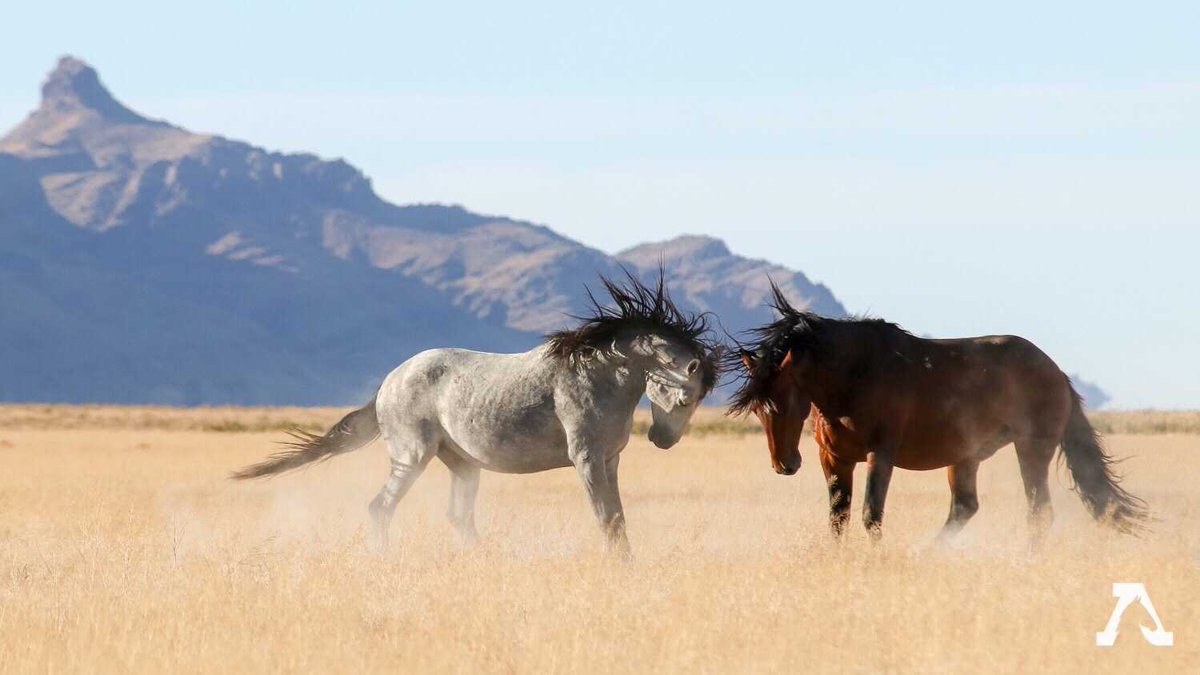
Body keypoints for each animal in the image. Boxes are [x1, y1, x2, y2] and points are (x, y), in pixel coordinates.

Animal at [232, 272, 720, 556]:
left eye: (698, 401)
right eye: (685, 398)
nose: (663, 441)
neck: (600, 374)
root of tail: (389, 382)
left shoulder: (610, 461)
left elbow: (617, 516)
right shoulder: (586, 460)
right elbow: (607, 517)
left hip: (463, 464)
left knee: (458, 517)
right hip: (412, 457)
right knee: (380, 507)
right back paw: (383, 558)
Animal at [727, 283, 1147, 544]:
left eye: (783, 401)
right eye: (759, 411)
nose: (784, 464)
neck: (856, 375)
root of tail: (1056, 371)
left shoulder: (880, 455)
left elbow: (870, 514)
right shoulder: (834, 459)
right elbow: (838, 519)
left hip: (1032, 448)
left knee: (1038, 512)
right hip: (966, 456)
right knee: (965, 507)